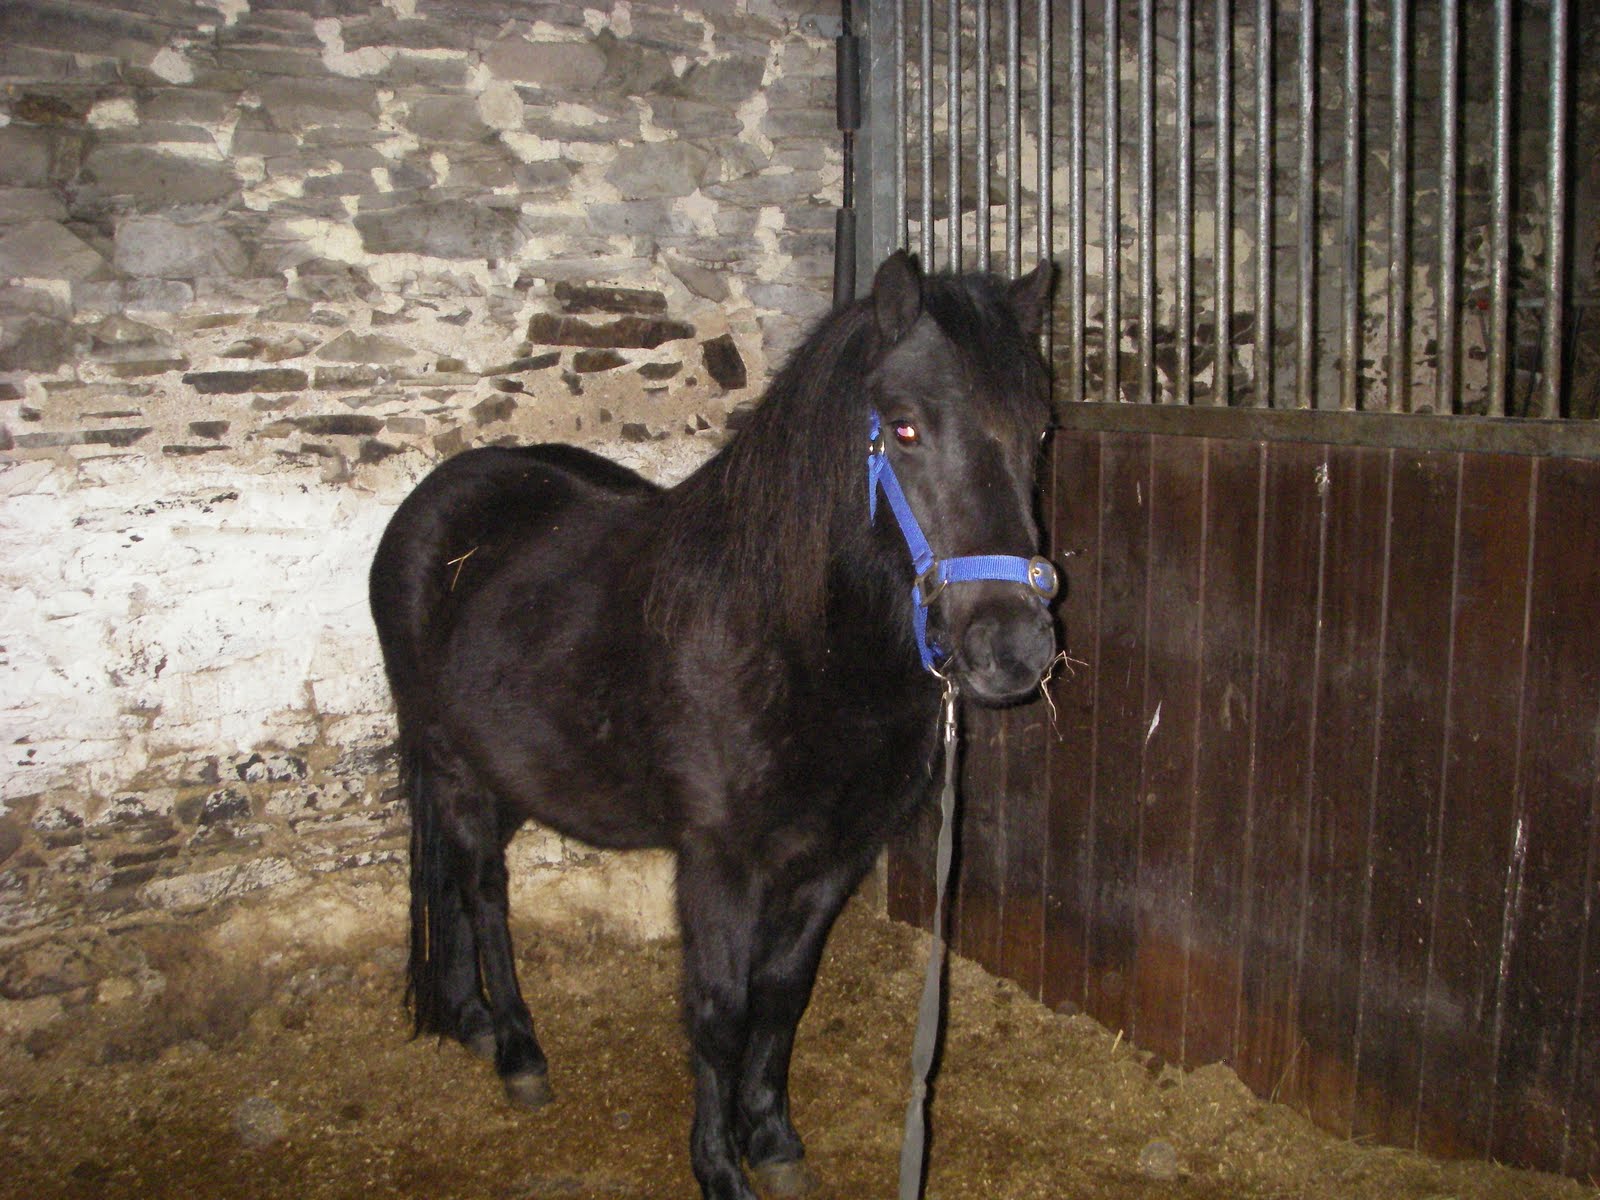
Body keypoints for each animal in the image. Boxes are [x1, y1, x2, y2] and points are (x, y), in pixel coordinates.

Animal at [368, 250, 1059, 1200]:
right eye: (906, 428)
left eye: (1038, 433)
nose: (1013, 648)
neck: (790, 641)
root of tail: (434, 504)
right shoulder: (718, 864)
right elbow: (718, 1011)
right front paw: (719, 1168)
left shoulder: (833, 859)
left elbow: (782, 994)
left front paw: (772, 1140)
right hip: (455, 771)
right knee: (482, 894)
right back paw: (516, 1050)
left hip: (505, 773)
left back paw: (468, 1019)